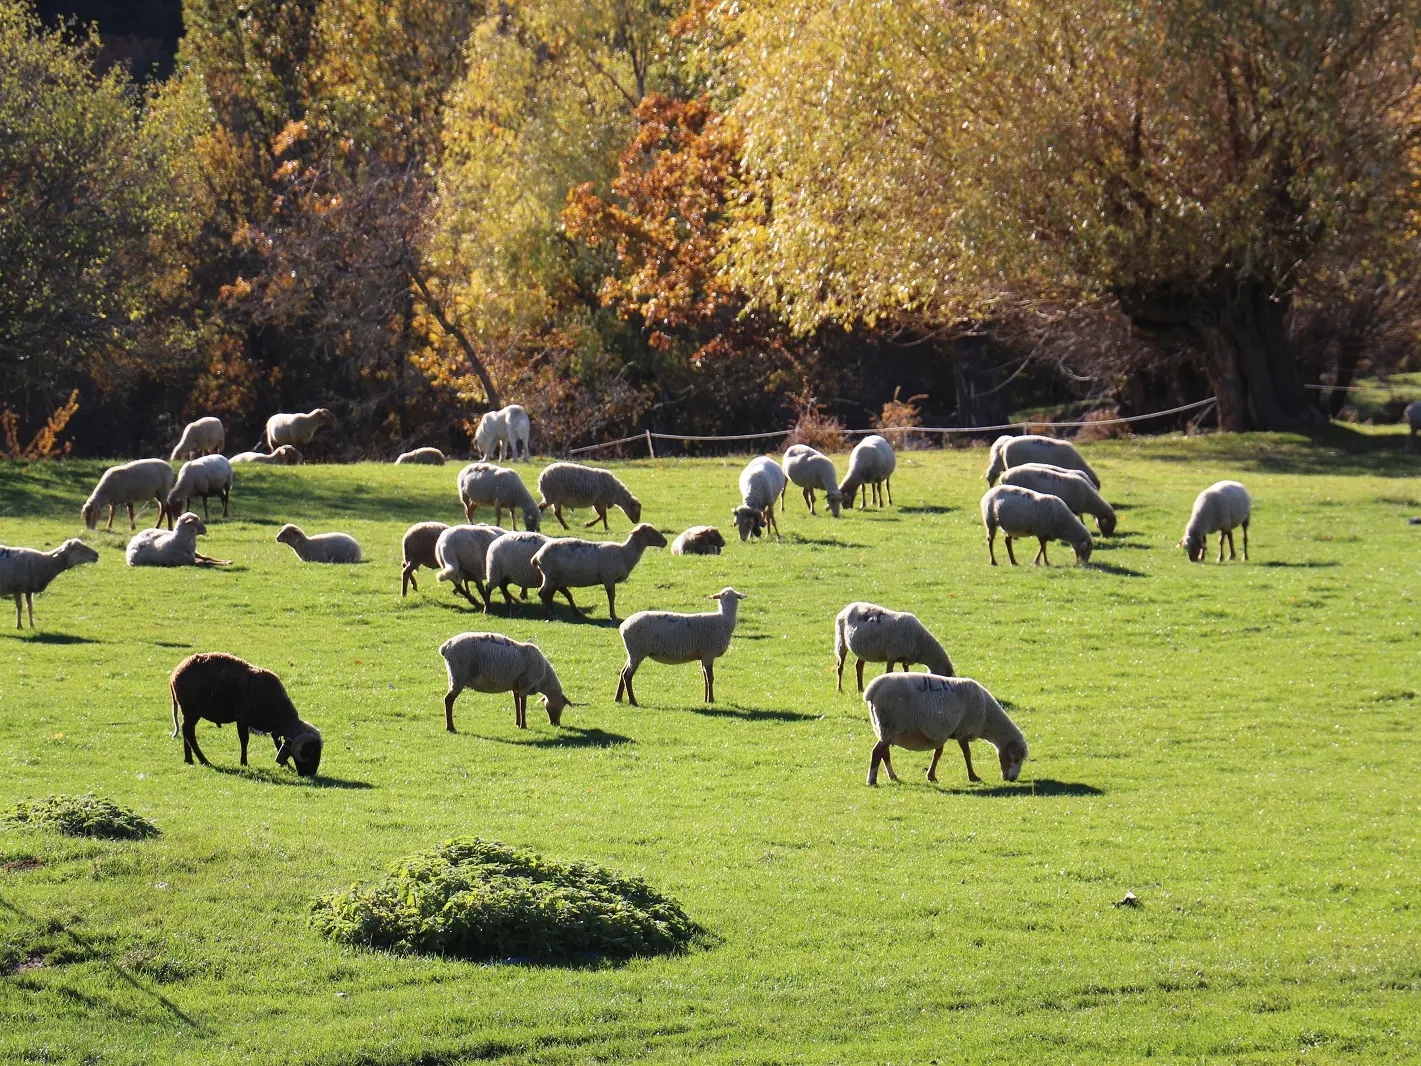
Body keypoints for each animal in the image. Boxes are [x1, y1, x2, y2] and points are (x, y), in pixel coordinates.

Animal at [169, 652, 323, 776]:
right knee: (189, 732)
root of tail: (174, 674)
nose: (311, 774)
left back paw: (189, 759)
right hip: (191, 710)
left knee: (186, 730)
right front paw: (244, 762)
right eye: (311, 752)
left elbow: (277, 742)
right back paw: (204, 761)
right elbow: (244, 740)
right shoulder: (242, 719)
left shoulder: (272, 727)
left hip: (188, 712)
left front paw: (286, 764)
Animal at [438, 631, 571, 731]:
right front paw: (524, 725)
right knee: (448, 700)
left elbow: (517, 704)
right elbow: (523, 706)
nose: (556, 724)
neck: (544, 680)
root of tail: (446, 646)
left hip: (453, 676)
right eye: (562, 707)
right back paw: (450, 727)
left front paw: (518, 723)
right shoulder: (525, 684)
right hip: (458, 675)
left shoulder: (516, 686)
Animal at [531, 523, 667, 621]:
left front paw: (613, 614)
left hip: (556, 577)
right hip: (550, 575)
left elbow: (613, 596)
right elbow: (611, 597)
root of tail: (537, 556)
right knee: (543, 593)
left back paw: (558, 612)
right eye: (650, 531)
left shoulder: (611, 580)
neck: (624, 553)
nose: (665, 542)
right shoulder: (608, 577)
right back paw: (552, 614)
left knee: (550, 594)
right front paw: (613, 616)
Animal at [616, 587, 747, 706]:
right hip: (637, 651)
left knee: (622, 672)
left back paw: (618, 698)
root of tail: (623, 626)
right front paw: (711, 700)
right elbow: (710, 678)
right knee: (627, 675)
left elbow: (704, 676)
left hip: (633, 652)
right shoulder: (709, 654)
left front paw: (705, 699)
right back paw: (633, 701)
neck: (724, 619)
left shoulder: (702, 655)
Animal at [863, 673, 1028, 786]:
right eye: (1016, 758)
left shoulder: (943, 731)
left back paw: (893, 777)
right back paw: (872, 780)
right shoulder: (962, 730)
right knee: (877, 752)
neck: (988, 717)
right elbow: (967, 754)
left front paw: (931, 776)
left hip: (884, 728)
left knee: (884, 753)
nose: (1012, 779)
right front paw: (974, 777)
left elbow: (938, 753)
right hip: (890, 724)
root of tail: (872, 689)